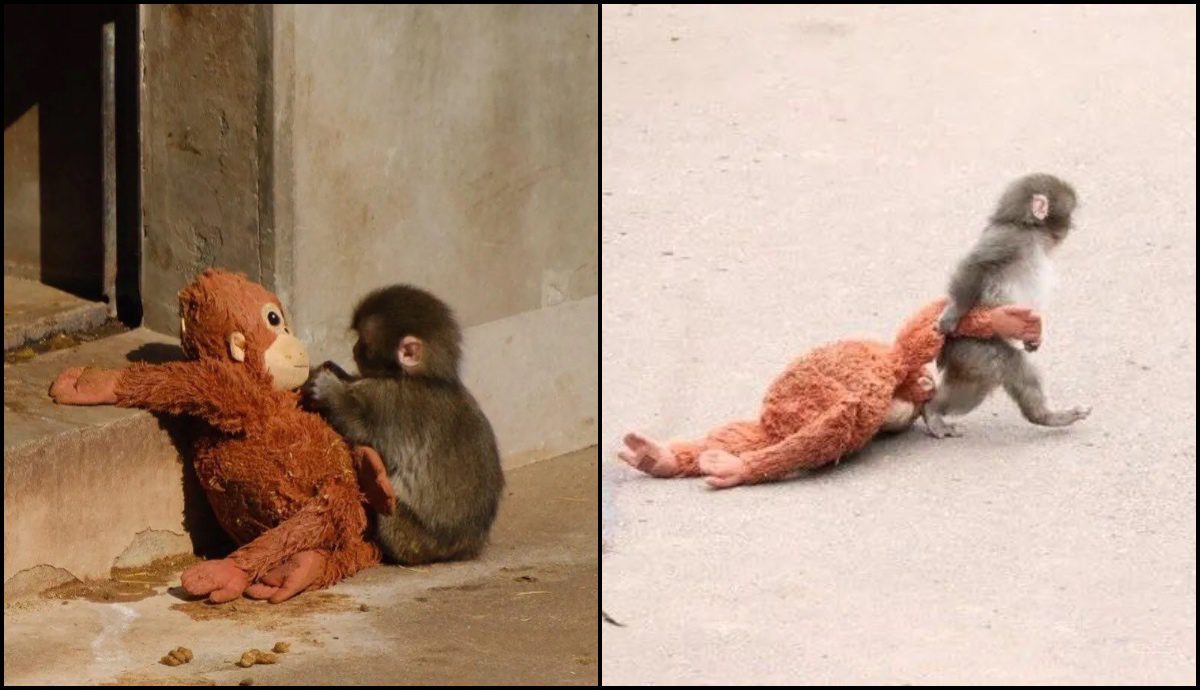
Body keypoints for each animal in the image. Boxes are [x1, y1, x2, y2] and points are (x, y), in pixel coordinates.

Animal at [301, 285, 504, 565]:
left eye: (364, 342)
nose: (354, 349)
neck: (425, 378)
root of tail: (464, 548)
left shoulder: (389, 401)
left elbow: (361, 429)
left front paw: (329, 389)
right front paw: (338, 372)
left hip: (412, 539)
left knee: (389, 515)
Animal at [923, 173, 1091, 438]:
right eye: (1070, 213)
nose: (1071, 226)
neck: (1028, 228)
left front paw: (1033, 339)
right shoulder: (1010, 239)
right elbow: (976, 264)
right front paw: (952, 314)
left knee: (976, 387)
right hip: (972, 346)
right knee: (1010, 365)